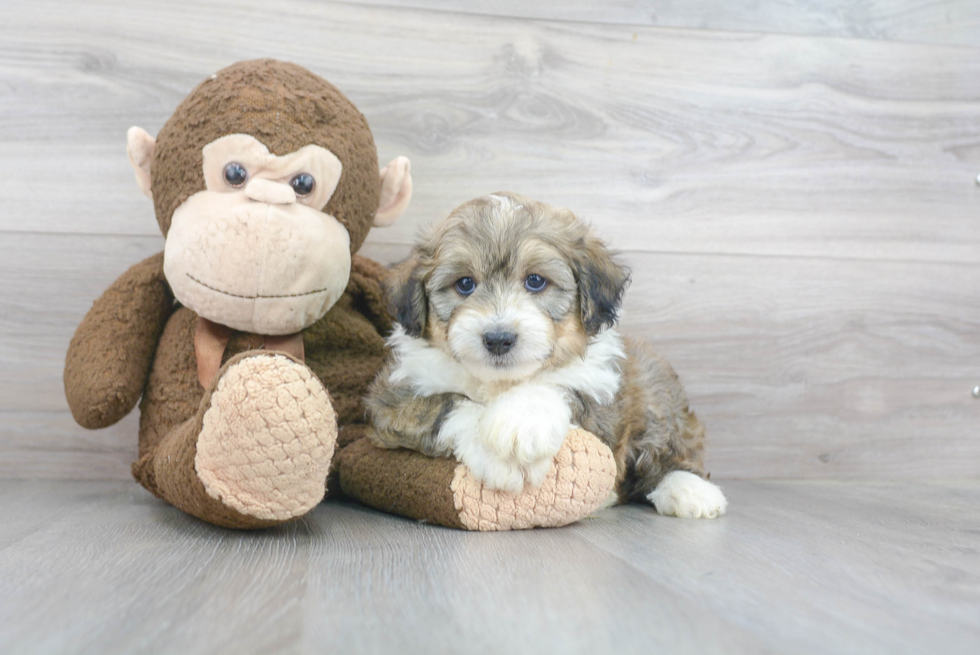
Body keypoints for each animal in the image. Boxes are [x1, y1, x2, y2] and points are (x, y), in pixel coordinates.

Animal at [368, 192, 728, 520]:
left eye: (536, 281)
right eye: (465, 284)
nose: (498, 339)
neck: (501, 383)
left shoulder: (602, 398)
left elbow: (561, 387)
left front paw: (522, 418)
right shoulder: (394, 396)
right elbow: (447, 404)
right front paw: (498, 456)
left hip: (653, 382)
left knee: (667, 447)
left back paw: (689, 489)